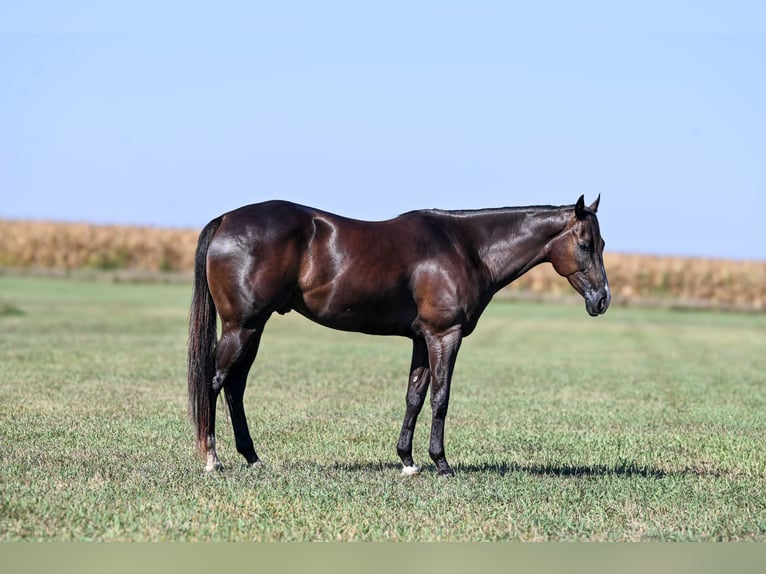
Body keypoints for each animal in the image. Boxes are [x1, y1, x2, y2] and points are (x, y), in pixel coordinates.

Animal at [188, 195, 610, 476]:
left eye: (602, 244)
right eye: (585, 244)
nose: (602, 299)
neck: (468, 248)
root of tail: (225, 219)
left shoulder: (421, 340)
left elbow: (414, 397)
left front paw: (407, 460)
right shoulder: (445, 335)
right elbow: (440, 397)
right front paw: (441, 463)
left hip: (253, 328)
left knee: (235, 386)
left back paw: (252, 457)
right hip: (242, 327)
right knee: (215, 381)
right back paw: (211, 459)